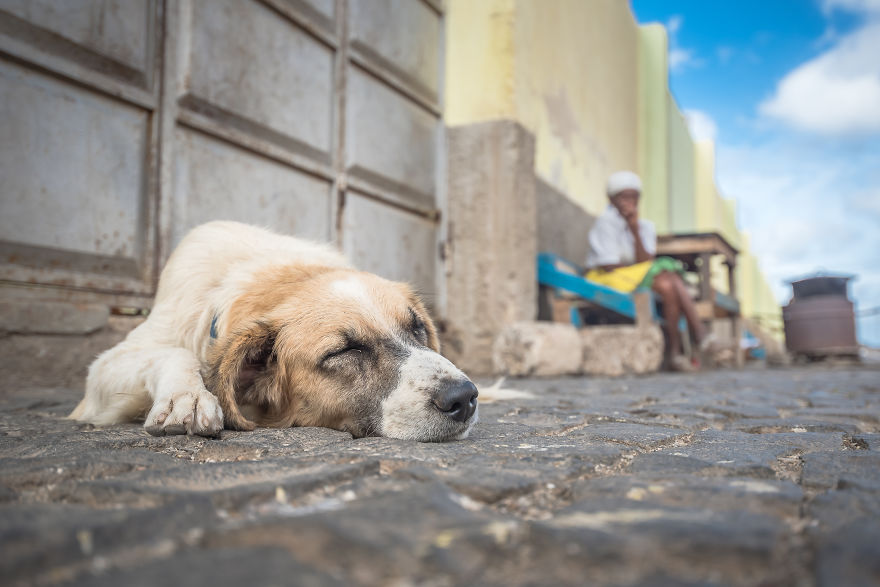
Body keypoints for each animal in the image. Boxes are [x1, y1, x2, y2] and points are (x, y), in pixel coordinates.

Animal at [71, 220, 478, 440]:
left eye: (418, 328)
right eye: (345, 351)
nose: (464, 397)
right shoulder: (101, 373)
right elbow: (175, 352)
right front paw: (187, 396)